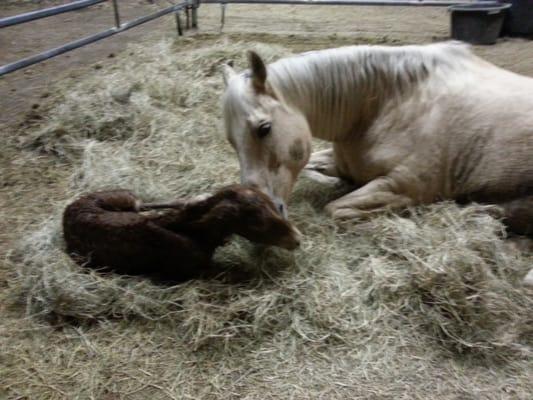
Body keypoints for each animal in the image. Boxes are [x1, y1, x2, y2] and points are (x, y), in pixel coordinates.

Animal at [220, 42, 532, 239]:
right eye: (231, 141)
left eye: (264, 128)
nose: (262, 211)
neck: (390, 102)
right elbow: (315, 170)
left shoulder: (402, 186)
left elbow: (336, 209)